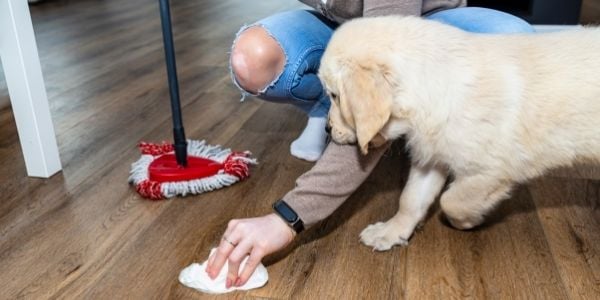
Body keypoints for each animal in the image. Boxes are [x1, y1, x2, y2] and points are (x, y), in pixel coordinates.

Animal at [322, 16, 600, 251]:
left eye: (334, 95)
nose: (326, 129)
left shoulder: (490, 172)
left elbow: (451, 200)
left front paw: (467, 221)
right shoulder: (431, 157)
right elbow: (410, 199)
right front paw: (391, 232)